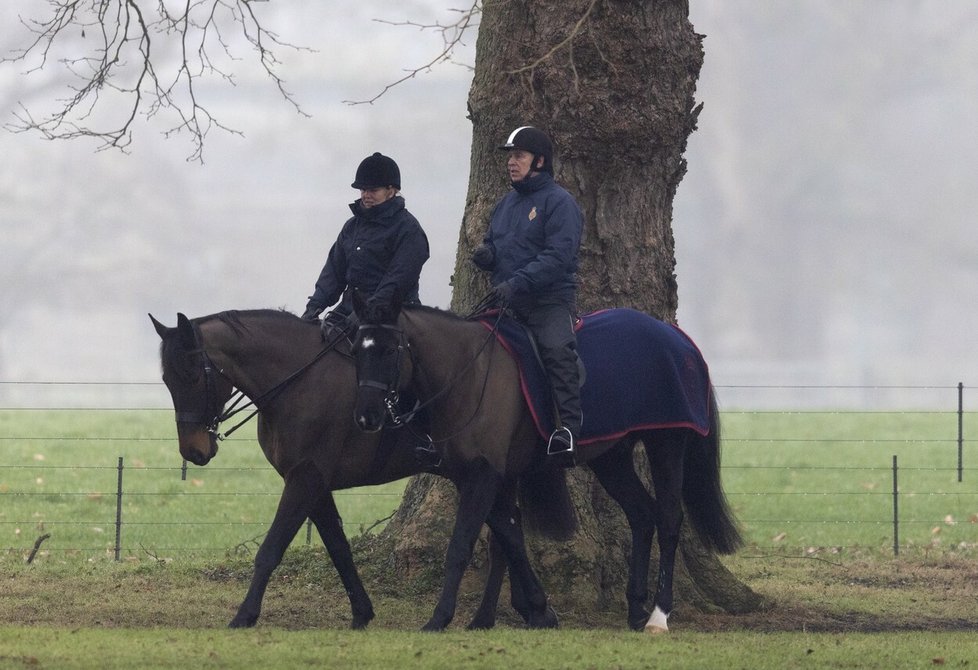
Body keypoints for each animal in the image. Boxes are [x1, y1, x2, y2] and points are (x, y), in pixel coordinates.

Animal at [152, 312, 564, 632]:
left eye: (191, 375)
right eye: (167, 381)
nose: (194, 451)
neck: (299, 379)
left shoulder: (305, 478)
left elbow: (271, 549)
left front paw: (244, 615)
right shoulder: (314, 483)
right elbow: (339, 548)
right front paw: (362, 612)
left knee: (503, 533)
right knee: (505, 533)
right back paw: (504, 614)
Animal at [350, 304, 740, 636]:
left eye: (390, 350)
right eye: (357, 350)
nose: (367, 417)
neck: (469, 373)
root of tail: (678, 338)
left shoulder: (483, 476)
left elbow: (462, 545)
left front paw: (440, 618)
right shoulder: (479, 477)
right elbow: (508, 536)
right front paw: (527, 611)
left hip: (666, 443)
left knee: (670, 520)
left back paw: (659, 615)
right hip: (611, 457)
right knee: (642, 515)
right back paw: (634, 610)